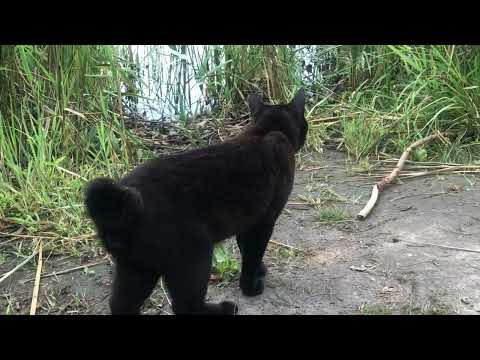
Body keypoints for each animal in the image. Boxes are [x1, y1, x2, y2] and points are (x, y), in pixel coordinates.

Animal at [85, 88, 310, 314]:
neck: (266, 130)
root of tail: (124, 202)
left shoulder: (248, 219)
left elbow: (244, 246)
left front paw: (260, 270)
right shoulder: (264, 220)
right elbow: (253, 253)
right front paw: (251, 286)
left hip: (137, 267)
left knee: (121, 303)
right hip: (194, 256)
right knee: (186, 305)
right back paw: (224, 308)